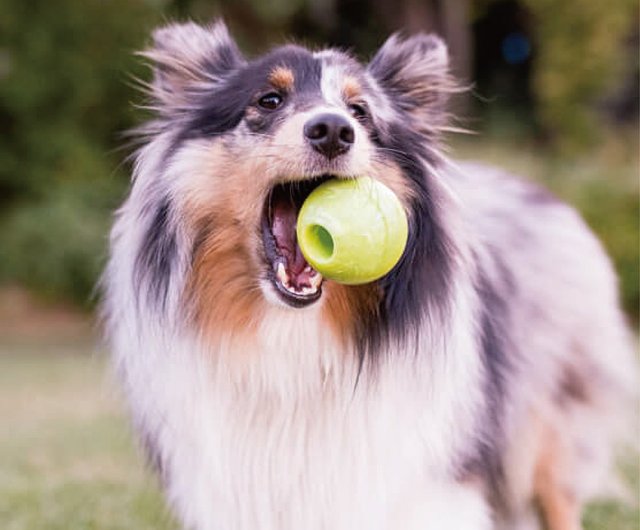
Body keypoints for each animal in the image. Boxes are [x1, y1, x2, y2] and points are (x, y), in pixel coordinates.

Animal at [101, 20, 636, 528]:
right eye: (269, 100)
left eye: (360, 112)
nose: (333, 130)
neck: (294, 336)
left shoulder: (420, 483)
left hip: (547, 434)